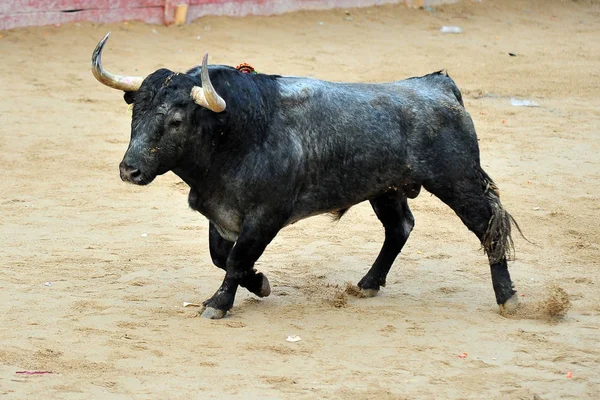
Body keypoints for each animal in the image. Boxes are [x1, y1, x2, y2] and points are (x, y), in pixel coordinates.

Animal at [92, 32, 520, 318]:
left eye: (177, 121)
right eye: (136, 113)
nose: (129, 170)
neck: (239, 131)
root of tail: (439, 85)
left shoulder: (267, 216)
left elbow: (235, 259)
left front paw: (218, 303)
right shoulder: (221, 213)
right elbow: (222, 257)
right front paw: (259, 283)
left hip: (457, 180)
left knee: (487, 226)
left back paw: (508, 298)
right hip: (386, 189)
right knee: (399, 228)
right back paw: (367, 284)